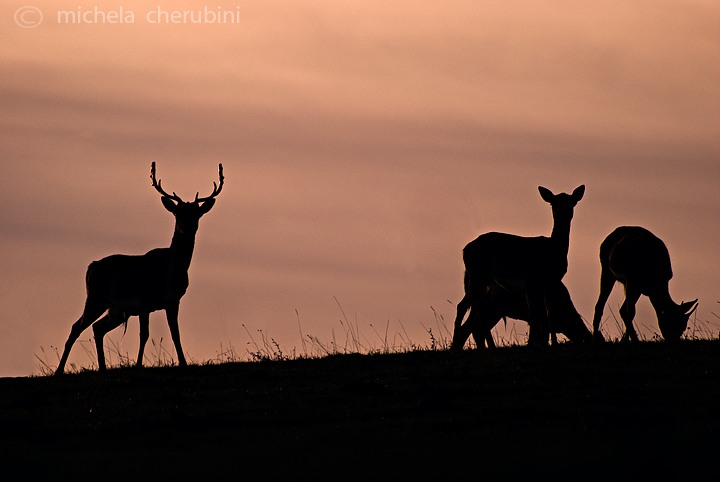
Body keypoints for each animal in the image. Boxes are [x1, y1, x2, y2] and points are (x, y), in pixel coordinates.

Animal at [55, 164, 224, 374]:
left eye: (197, 213)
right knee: (76, 327)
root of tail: (91, 267)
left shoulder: (173, 301)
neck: (168, 274)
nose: (187, 226)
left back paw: (102, 367)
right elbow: (144, 335)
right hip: (95, 298)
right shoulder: (144, 300)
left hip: (116, 309)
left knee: (97, 327)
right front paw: (137, 365)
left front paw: (183, 363)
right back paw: (59, 370)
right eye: (177, 213)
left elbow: (175, 333)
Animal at [450, 278, 596, 350]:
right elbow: (541, 335)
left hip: (490, 312)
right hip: (491, 309)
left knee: (470, 328)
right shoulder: (542, 318)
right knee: (473, 328)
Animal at [456, 185, 584, 346]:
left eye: (572, 202)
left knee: (474, 310)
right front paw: (532, 345)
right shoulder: (530, 280)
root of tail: (465, 250)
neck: (551, 252)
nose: (562, 215)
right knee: (463, 307)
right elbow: (534, 315)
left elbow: (548, 315)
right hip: (479, 276)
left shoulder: (550, 284)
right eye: (553, 204)